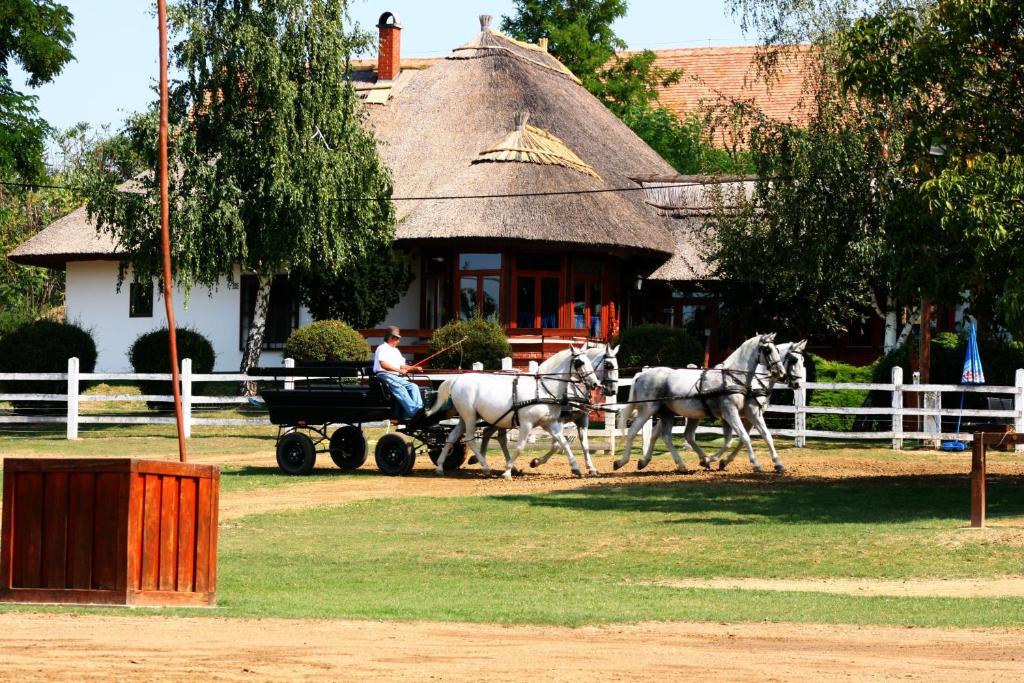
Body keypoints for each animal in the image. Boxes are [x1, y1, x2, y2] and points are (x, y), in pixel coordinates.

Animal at [479, 344, 622, 479]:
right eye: (608, 365)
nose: (613, 390)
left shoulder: (581, 420)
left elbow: (584, 444)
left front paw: (591, 468)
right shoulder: (559, 421)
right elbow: (557, 445)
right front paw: (536, 462)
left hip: (501, 419)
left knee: (494, 435)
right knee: (494, 436)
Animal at [610, 331, 786, 473]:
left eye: (777, 350)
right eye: (768, 350)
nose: (781, 373)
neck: (733, 377)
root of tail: (641, 375)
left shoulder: (746, 413)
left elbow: (763, 435)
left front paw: (778, 463)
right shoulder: (730, 411)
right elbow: (744, 437)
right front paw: (755, 464)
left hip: (668, 413)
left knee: (667, 436)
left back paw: (678, 463)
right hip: (648, 409)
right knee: (634, 431)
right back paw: (621, 462)